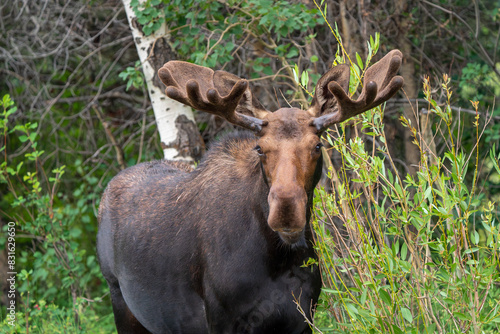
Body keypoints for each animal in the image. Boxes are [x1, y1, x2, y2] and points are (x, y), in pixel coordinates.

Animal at [96, 48, 402, 332]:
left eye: (317, 146)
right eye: (260, 148)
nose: (286, 210)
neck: (278, 260)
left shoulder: (304, 318)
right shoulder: (222, 321)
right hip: (121, 302)